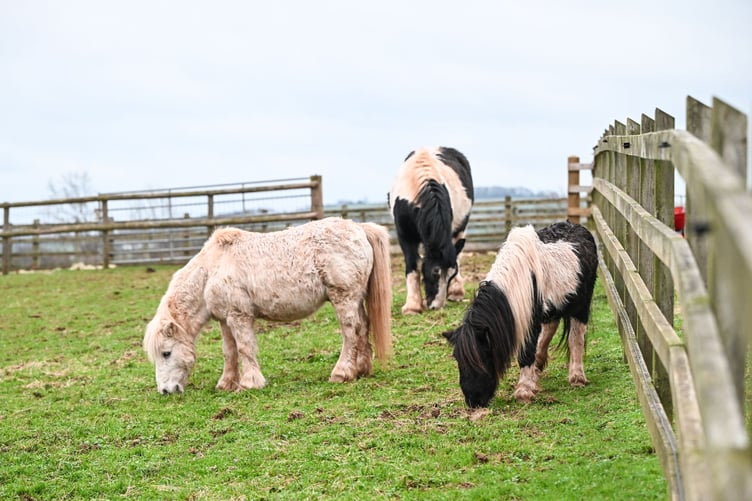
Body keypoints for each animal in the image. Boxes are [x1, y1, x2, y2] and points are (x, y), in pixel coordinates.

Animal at [143, 217, 393, 394]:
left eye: (166, 353)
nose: (165, 390)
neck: (212, 269)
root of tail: (359, 228)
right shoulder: (225, 320)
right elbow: (229, 352)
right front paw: (226, 384)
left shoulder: (239, 316)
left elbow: (245, 348)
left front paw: (249, 383)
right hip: (355, 298)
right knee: (363, 328)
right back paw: (361, 369)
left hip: (344, 297)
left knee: (350, 332)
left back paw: (342, 373)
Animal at [388, 146, 474, 314]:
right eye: (435, 271)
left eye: (451, 274)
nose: (436, 306)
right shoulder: (405, 236)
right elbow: (413, 265)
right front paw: (412, 307)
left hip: (460, 229)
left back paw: (456, 292)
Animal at [443, 221, 597, 407]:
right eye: (457, 359)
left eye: (483, 358)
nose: (473, 401)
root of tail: (578, 227)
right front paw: (531, 380)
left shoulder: (530, 322)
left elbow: (526, 352)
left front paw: (524, 391)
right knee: (551, 327)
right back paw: (539, 365)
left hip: (581, 306)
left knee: (575, 338)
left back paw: (577, 377)